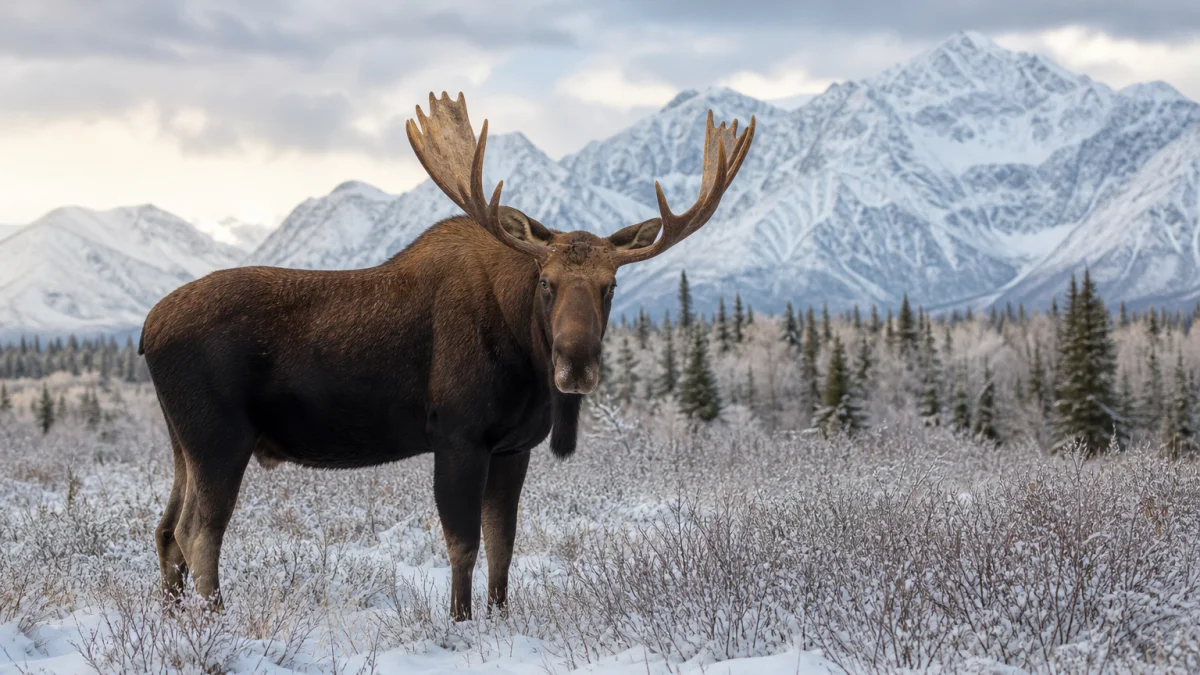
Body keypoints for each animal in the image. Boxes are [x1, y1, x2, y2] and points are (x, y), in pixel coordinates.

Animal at [139, 92, 755, 621]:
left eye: (611, 285)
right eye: (547, 282)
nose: (576, 366)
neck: (526, 357)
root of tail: (146, 330)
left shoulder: (513, 447)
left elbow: (503, 543)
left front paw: (500, 617)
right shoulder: (458, 435)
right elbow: (463, 544)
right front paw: (460, 621)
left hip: (181, 442)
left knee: (166, 529)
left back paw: (173, 619)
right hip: (219, 436)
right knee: (199, 532)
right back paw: (214, 619)